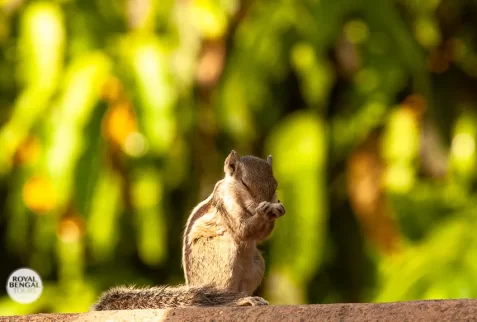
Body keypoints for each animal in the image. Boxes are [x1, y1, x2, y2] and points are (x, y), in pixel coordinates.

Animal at [91, 150, 284, 310]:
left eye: (275, 185)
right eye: (244, 184)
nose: (264, 202)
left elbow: (260, 234)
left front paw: (275, 210)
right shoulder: (225, 205)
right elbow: (243, 230)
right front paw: (263, 212)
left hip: (257, 265)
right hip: (223, 256)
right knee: (222, 300)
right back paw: (240, 301)